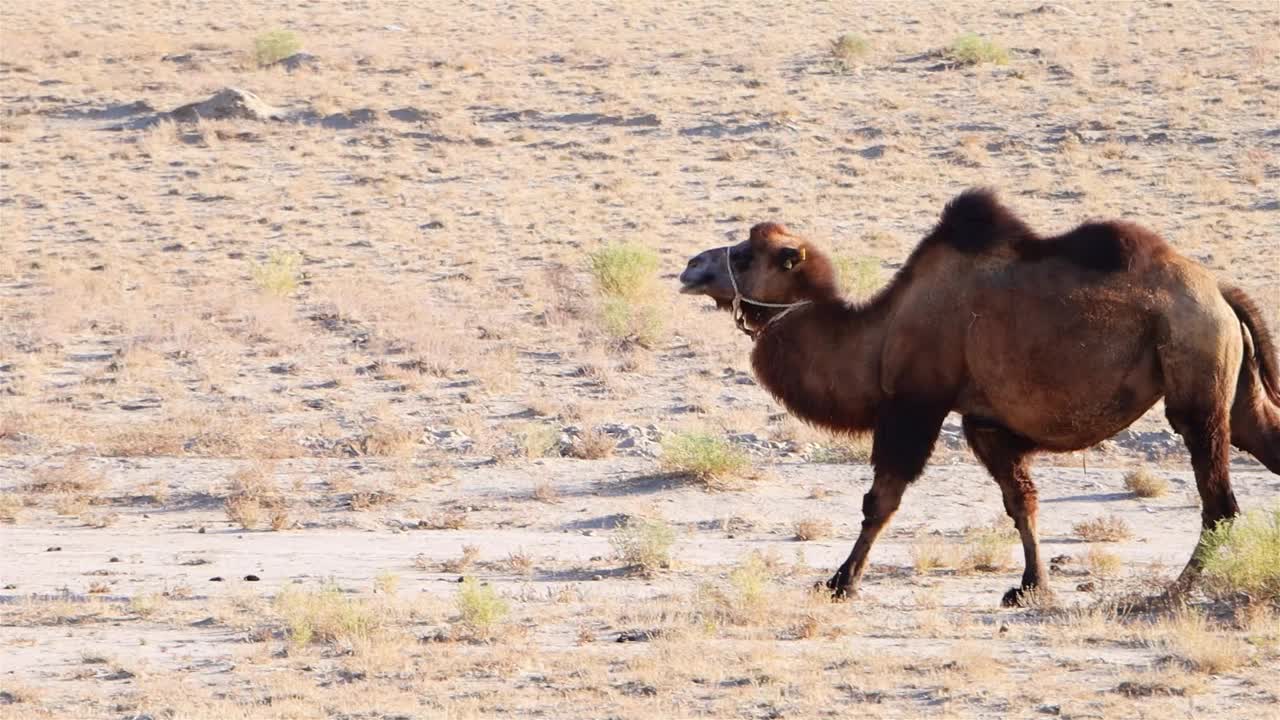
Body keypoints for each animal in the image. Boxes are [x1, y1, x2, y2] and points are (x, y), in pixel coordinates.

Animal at [680, 188, 1280, 602]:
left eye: (746, 255)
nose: (690, 265)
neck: (879, 329)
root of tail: (1220, 290)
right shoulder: (984, 422)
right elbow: (1021, 501)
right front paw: (1030, 586)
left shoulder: (916, 404)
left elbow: (881, 501)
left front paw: (840, 582)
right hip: (1232, 382)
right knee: (1259, 435)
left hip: (1195, 373)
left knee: (1219, 501)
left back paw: (1173, 591)